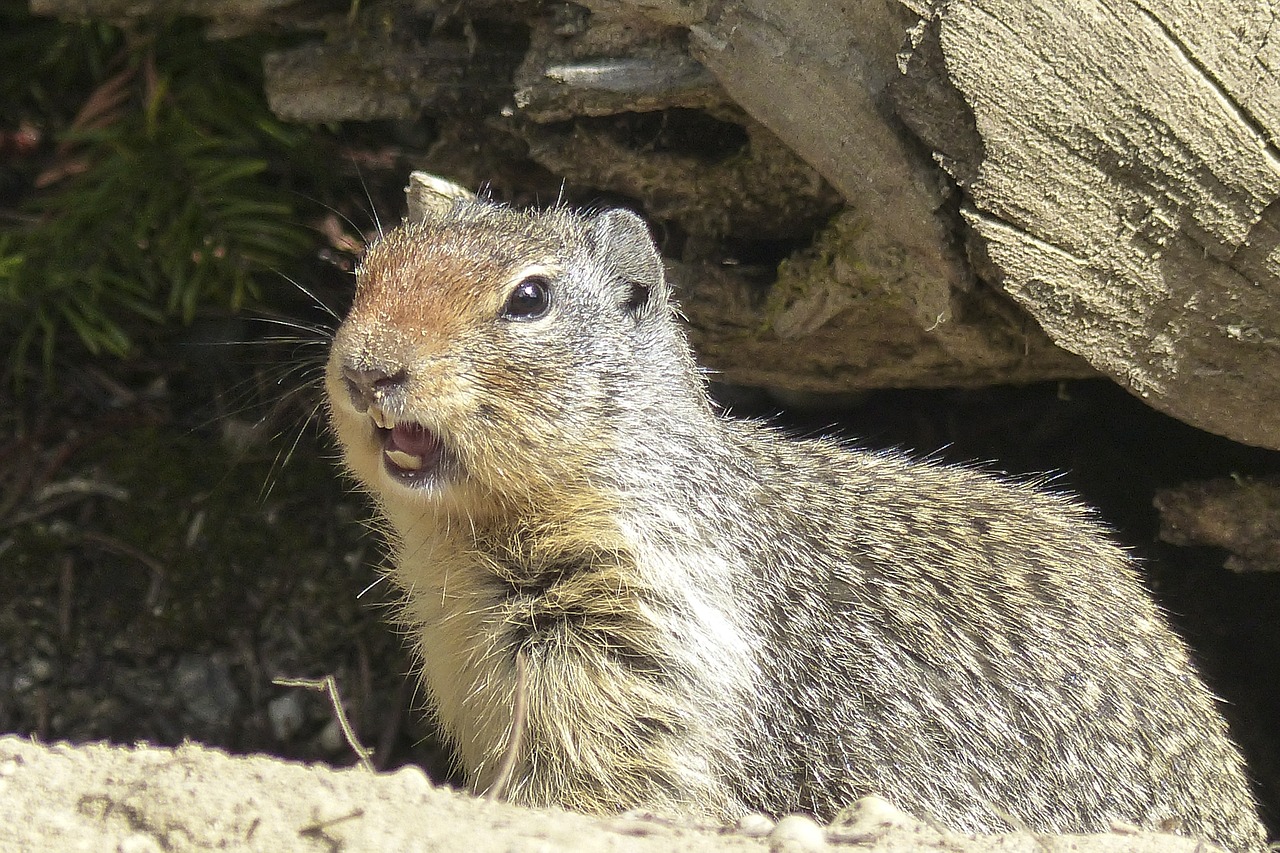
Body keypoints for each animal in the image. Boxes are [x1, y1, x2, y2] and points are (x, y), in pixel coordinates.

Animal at [322, 172, 1269, 850]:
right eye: (367, 270)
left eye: (529, 298)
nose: (368, 369)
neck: (472, 540)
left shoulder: (642, 649)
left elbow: (615, 783)